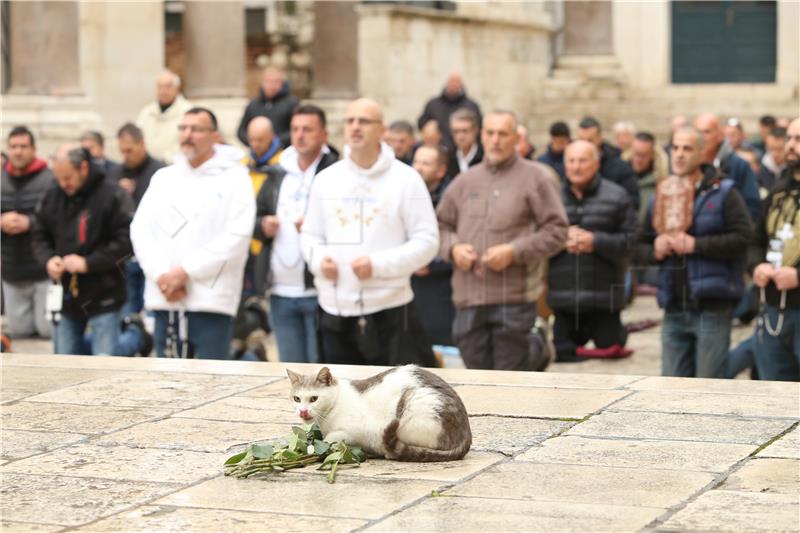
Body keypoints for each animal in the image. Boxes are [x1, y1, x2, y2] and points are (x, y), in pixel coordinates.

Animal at [288, 364, 472, 460]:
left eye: (314, 398)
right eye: (296, 399)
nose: (303, 412)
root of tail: (466, 434)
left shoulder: (357, 431)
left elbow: (330, 439)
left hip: (412, 410)